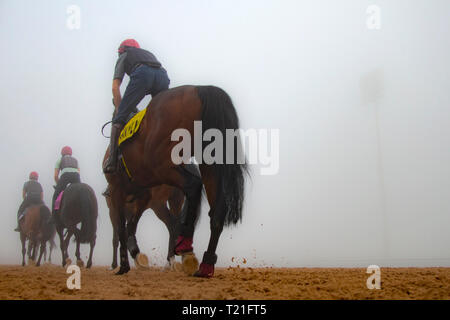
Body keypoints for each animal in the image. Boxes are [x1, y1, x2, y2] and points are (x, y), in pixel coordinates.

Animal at [104, 85, 248, 278]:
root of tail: (199, 89)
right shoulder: (141, 195)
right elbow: (130, 225)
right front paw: (135, 256)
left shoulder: (117, 192)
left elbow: (121, 228)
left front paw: (124, 265)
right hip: (206, 167)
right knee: (216, 212)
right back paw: (205, 264)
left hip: (162, 168)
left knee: (191, 190)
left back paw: (183, 245)